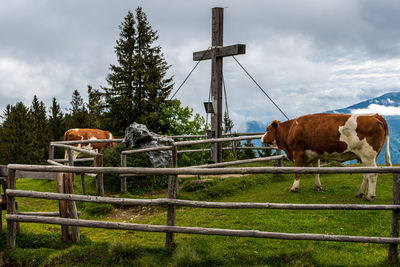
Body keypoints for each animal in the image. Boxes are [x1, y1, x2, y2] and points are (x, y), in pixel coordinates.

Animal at [262, 113, 390, 201]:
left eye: (268, 130)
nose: (262, 138)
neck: (292, 128)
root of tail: (375, 116)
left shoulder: (298, 152)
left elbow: (298, 171)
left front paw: (294, 187)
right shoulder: (314, 154)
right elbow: (316, 171)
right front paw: (317, 186)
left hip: (368, 156)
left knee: (372, 174)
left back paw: (370, 196)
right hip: (364, 157)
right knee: (366, 175)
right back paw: (360, 193)